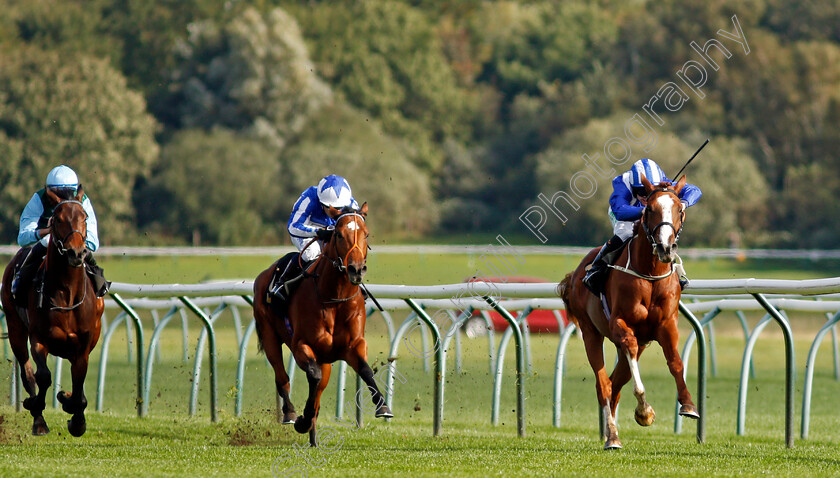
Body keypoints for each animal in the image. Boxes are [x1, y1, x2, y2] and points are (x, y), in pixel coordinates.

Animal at [0, 187, 103, 436]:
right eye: (57, 219)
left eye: (85, 217)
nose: (76, 253)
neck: (67, 294)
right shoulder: (40, 338)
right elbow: (42, 377)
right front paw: (36, 408)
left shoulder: (82, 346)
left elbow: (79, 382)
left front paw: (75, 417)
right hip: (15, 327)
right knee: (28, 373)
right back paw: (37, 413)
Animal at [251, 203, 392, 448]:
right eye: (338, 234)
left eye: (366, 234)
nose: (356, 269)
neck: (334, 297)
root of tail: (264, 274)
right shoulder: (301, 345)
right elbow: (312, 377)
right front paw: (302, 419)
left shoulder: (353, 345)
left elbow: (365, 370)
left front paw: (382, 406)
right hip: (269, 335)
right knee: (282, 377)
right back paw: (291, 414)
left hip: (324, 359)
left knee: (317, 388)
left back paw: (313, 436)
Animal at [560, 174, 700, 450]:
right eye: (650, 210)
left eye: (679, 210)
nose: (666, 248)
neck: (651, 273)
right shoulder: (620, 325)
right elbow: (631, 359)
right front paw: (644, 412)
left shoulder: (666, 325)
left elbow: (676, 361)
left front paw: (688, 404)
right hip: (591, 333)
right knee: (603, 384)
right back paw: (612, 437)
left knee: (615, 384)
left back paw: (610, 433)